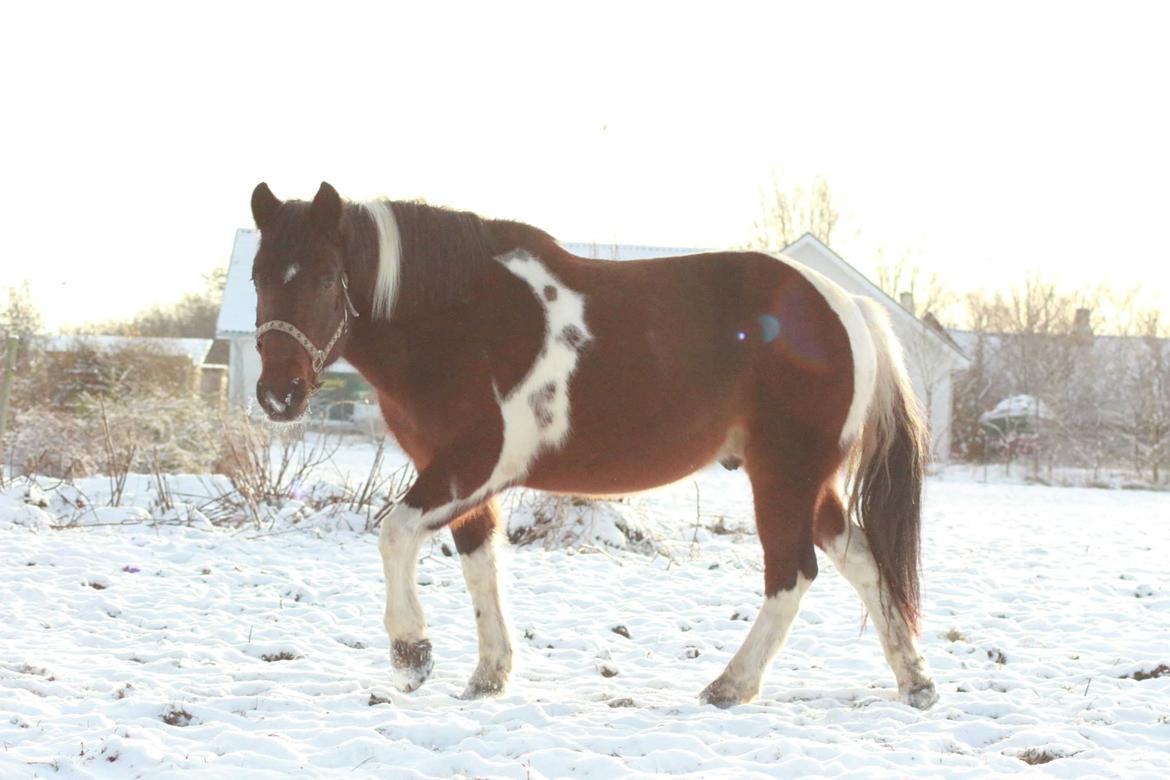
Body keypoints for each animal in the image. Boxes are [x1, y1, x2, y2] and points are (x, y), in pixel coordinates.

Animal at [248, 181, 938, 709]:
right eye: (258, 277)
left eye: (325, 278)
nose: (279, 394)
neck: (459, 318)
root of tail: (850, 308)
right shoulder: (454, 474)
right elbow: (479, 564)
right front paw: (488, 674)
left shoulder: (474, 464)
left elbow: (394, 534)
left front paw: (412, 652)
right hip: (809, 482)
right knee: (863, 560)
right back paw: (916, 683)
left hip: (783, 476)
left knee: (793, 574)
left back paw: (729, 686)